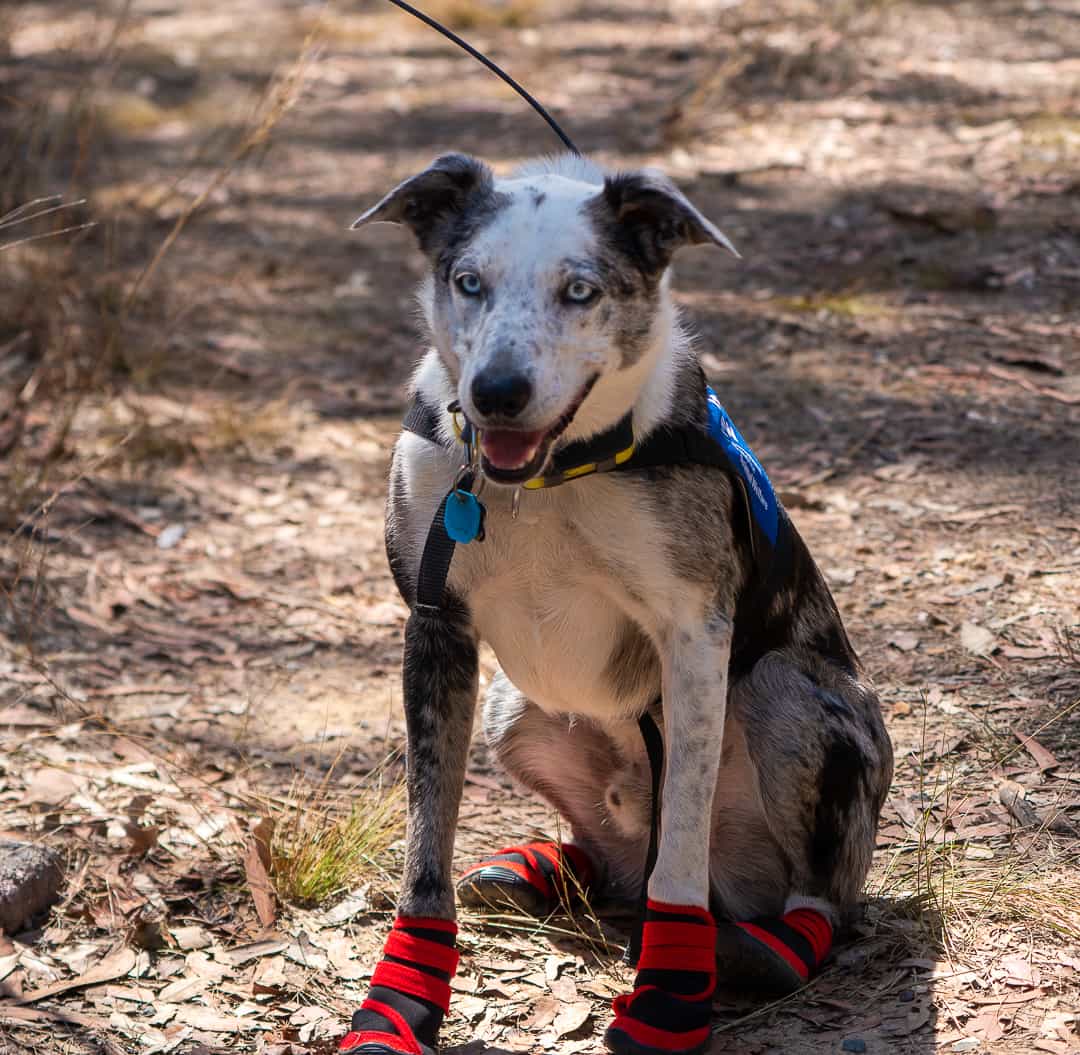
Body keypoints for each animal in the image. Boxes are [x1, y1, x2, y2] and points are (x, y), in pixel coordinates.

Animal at [336, 150, 894, 1053]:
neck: (548, 478)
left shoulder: (694, 635)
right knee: (616, 853)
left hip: (789, 701)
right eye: (467, 281)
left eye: (581, 290)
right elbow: (426, 839)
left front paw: (667, 995)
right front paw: (400, 1001)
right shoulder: (436, 627)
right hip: (509, 705)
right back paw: (540, 868)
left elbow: (682, 846)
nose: (496, 391)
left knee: (802, 894)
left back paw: (759, 948)